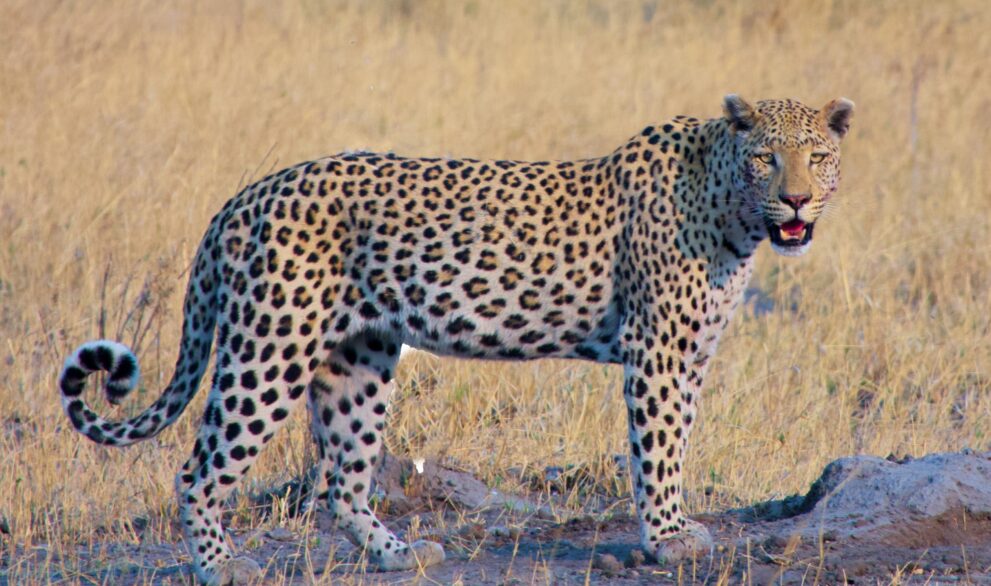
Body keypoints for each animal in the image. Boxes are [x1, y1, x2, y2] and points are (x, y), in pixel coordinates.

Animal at [58, 95, 854, 584]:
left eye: (817, 157)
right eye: (766, 158)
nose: (796, 200)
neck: (733, 214)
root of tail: (244, 196)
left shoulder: (688, 355)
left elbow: (677, 444)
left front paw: (673, 528)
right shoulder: (657, 354)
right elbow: (657, 450)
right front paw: (667, 539)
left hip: (358, 361)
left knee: (341, 483)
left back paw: (399, 555)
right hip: (269, 347)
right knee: (199, 471)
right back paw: (220, 566)